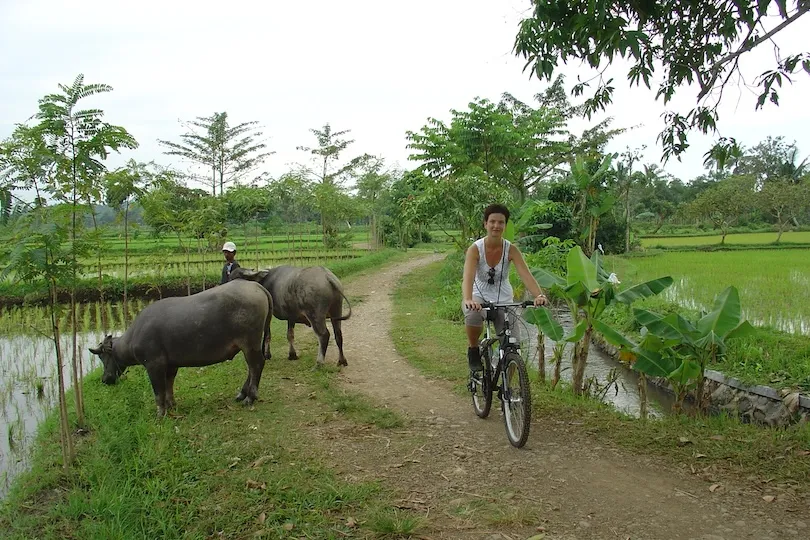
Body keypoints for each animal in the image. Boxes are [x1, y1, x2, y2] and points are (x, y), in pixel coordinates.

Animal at [87, 278, 274, 418]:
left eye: (102, 357)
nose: (105, 379)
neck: (133, 337)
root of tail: (256, 286)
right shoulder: (171, 365)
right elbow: (169, 385)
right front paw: (171, 405)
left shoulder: (154, 365)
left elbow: (158, 391)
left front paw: (160, 413)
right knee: (252, 367)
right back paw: (242, 394)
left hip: (249, 343)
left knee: (256, 365)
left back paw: (250, 397)